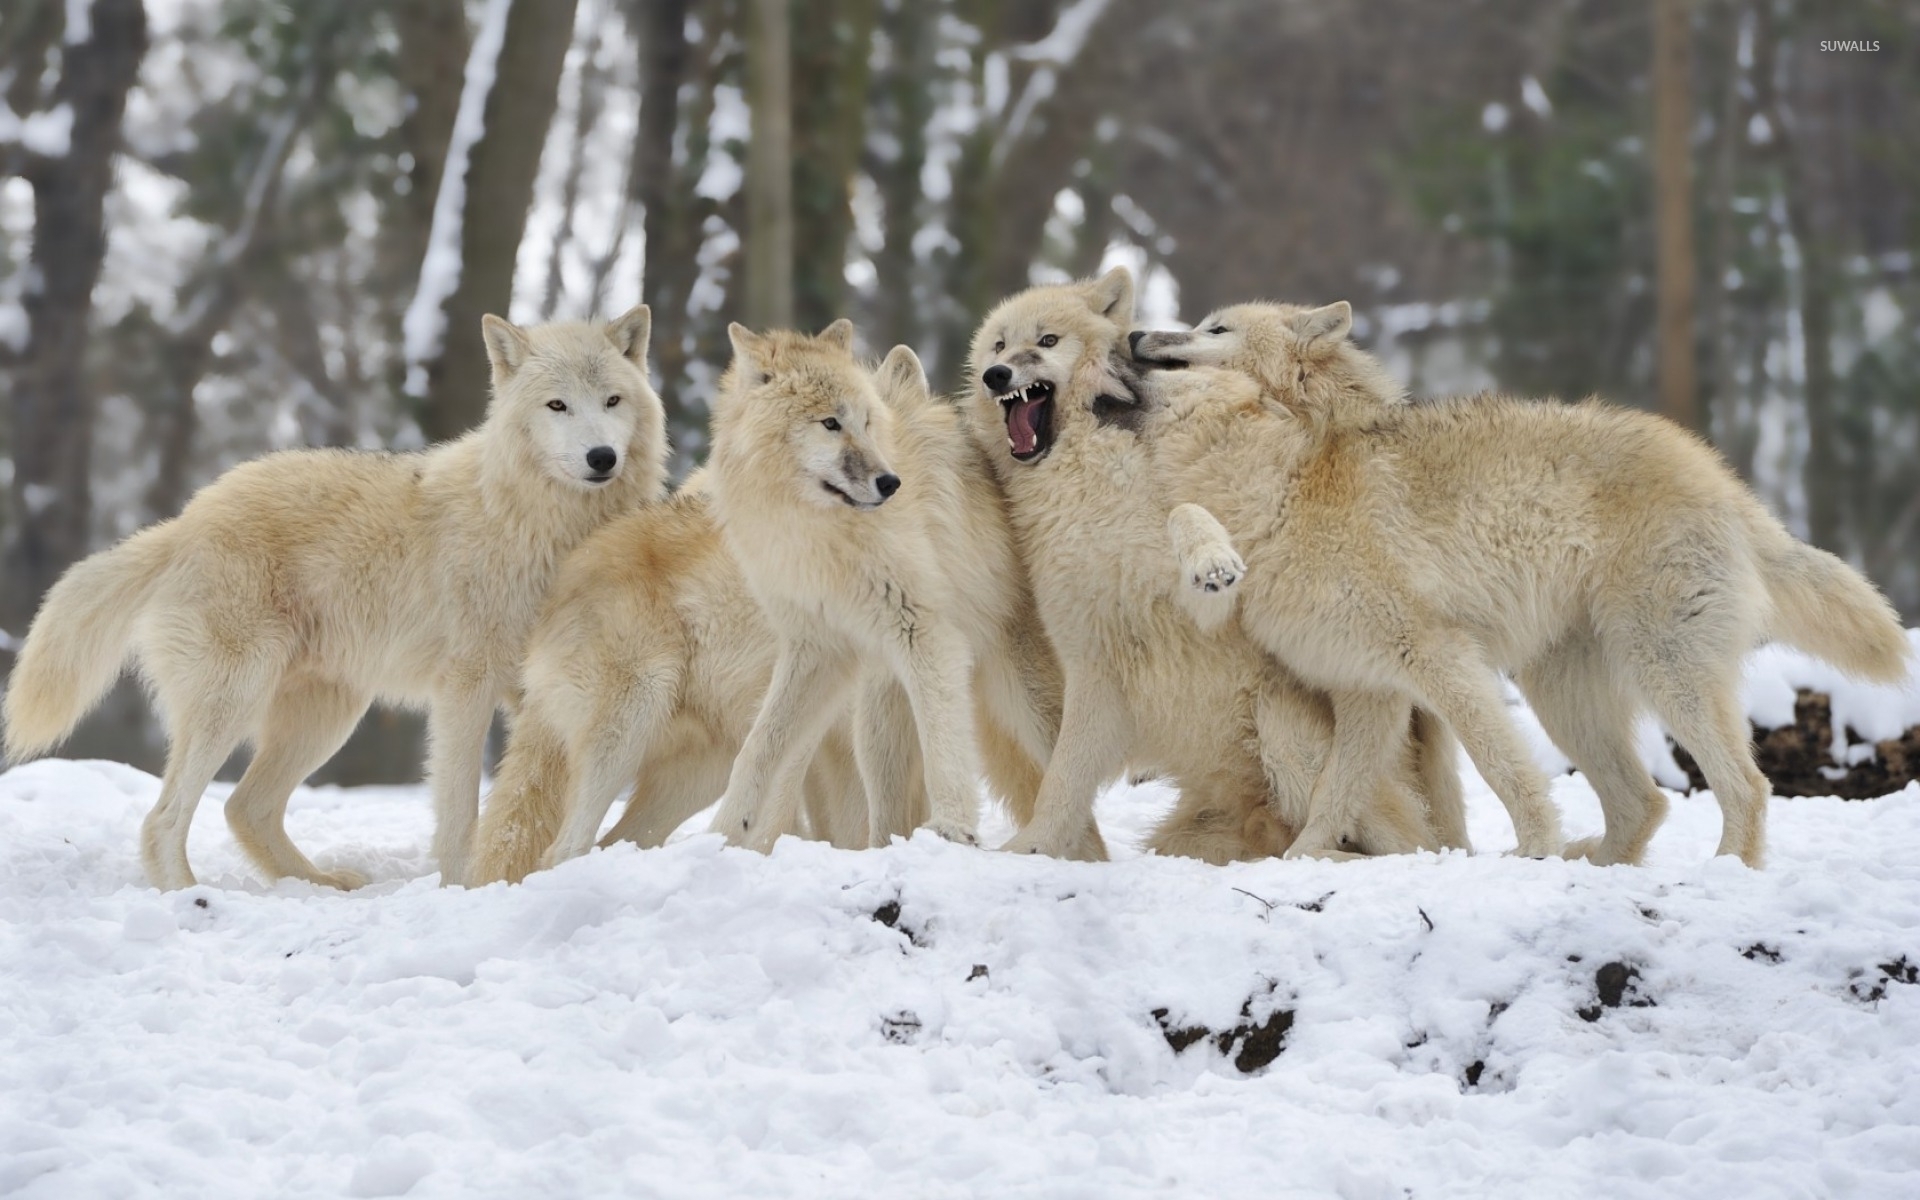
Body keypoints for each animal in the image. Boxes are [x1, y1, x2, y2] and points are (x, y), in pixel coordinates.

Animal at [3, 308, 666, 890]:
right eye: (557, 405)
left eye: (612, 401)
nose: (601, 457)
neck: (541, 525)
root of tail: (183, 522)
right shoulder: (467, 686)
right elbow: (460, 811)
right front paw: (462, 888)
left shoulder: (540, 691)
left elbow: (535, 801)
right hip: (236, 701)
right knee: (163, 819)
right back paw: (189, 899)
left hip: (326, 718)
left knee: (244, 807)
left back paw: (318, 886)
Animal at [705, 322, 1077, 855]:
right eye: (830, 423)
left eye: (865, 422)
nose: (890, 483)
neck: (815, 531)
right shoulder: (817, 649)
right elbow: (757, 749)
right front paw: (722, 834)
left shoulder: (924, 633)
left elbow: (945, 745)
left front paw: (953, 829)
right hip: (877, 718)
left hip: (1032, 705)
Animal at [964, 270, 1462, 862]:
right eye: (998, 346)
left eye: (1047, 341)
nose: (997, 375)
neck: (1086, 479)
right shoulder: (1092, 660)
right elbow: (1060, 784)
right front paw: (1031, 849)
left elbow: (1184, 515)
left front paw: (1213, 560)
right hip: (1189, 834)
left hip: (1282, 723)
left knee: (1398, 844)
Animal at [1130, 300, 1912, 866]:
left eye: (1214, 329)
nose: (1135, 334)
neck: (1289, 487)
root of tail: (1727, 483)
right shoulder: (1368, 693)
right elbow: (1332, 797)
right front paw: (1299, 864)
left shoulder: (1439, 660)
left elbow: (1501, 769)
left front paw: (1532, 848)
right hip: (1564, 694)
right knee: (1644, 803)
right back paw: (1595, 867)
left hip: (1662, 672)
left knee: (1745, 787)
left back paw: (1720, 875)